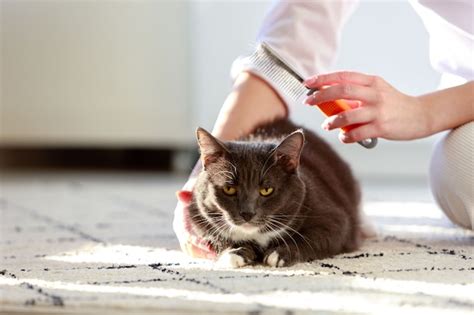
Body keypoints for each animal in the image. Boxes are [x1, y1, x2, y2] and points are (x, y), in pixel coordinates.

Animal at [189, 119, 362, 268]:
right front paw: (236, 252)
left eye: (266, 190)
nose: (247, 213)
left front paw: (279, 254)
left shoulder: (336, 219)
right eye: (229, 189)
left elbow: (316, 238)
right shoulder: (196, 215)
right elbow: (214, 235)